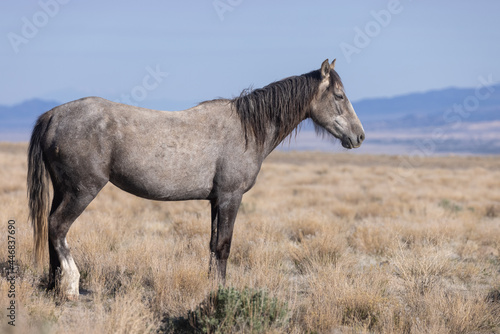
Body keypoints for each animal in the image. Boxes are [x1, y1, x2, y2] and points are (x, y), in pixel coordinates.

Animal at [26, 59, 364, 300]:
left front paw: (211, 286)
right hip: (82, 191)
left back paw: (54, 286)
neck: (247, 129)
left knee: (52, 230)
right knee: (58, 227)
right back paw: (71, 286)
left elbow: (213, 245)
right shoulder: (230, 197)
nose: (359, 136)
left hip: (64, 191)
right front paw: (221, 291)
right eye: (339, 95)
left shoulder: (215, 201)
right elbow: (225, 246)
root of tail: (53, 115)